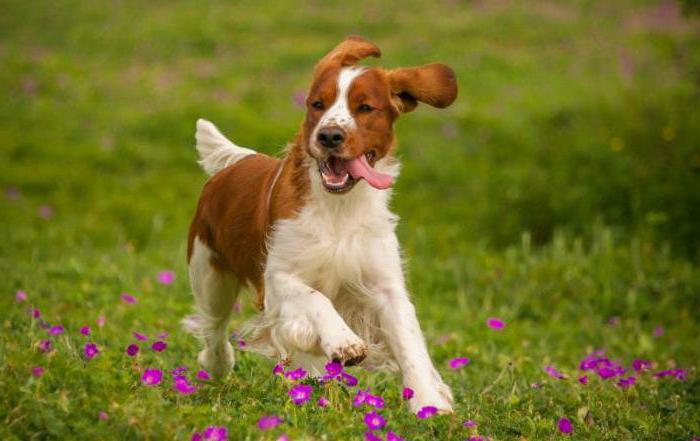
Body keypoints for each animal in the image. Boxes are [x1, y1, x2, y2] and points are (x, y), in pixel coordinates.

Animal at [185, 35, 460, 412]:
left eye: (365, 108)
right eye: (317, 104)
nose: (330, 135)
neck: (338, 207)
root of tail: (238, 163)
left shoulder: (385, 285)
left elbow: (409, 345)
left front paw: (429, 404)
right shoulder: (277, 280)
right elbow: (315, 298)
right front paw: (345, 342)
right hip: (209, 275)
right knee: (214, 329)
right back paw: (217, 365)